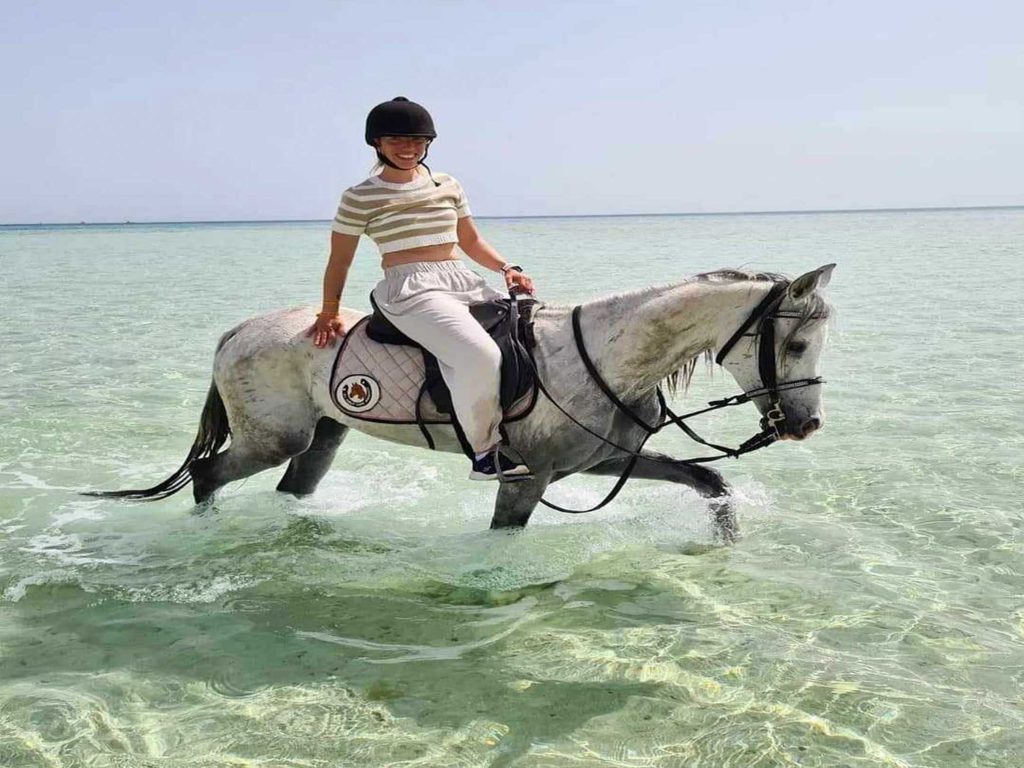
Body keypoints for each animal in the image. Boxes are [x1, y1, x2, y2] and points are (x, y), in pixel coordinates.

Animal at [92, 266, 835, 536]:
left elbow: (710, 481)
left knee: (290, 488)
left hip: (325, 434)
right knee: (210, 474)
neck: (606, 356)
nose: (805, 424)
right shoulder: (528, 476)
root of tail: (239, 329)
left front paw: (724, 544)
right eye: (797, 343)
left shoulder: (598, 463)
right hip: (272, 436)